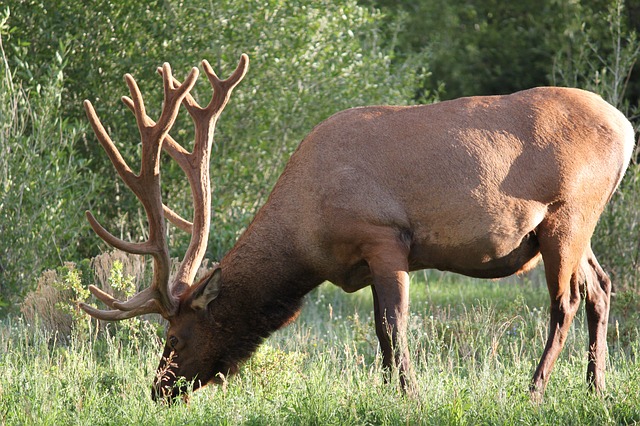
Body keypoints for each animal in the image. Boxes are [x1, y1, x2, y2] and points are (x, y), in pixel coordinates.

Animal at [80, 54, 636, 402]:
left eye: (175, 339)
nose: (157, 391)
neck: (306, 240)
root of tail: (626, 128)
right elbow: (381, 332)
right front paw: (393, 391)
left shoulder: (383, 235)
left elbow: (391, 328)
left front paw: (410, 396)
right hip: (576, 228)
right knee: (601, 287)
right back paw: (597, 388)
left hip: (567, 214)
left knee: (565, 301)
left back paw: (535, 391)